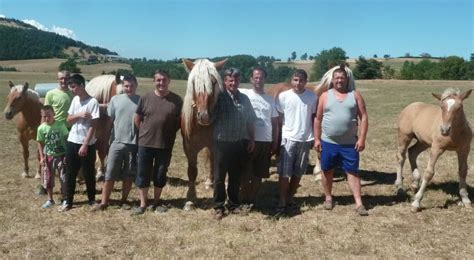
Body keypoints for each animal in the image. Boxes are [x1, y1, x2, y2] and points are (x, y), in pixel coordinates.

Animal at [181, 58, 227, 210]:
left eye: (214, 82)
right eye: (194, 83)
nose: (204, 116)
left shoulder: (216, 146)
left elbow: (216, 166)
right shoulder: (189, 148)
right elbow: (192, 171)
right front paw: (190, 199)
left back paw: (210, 182)